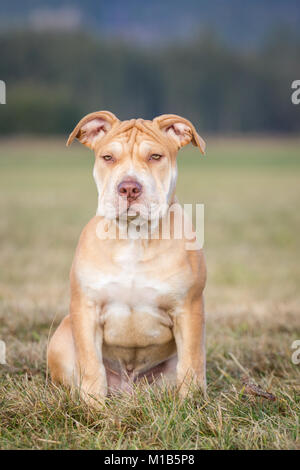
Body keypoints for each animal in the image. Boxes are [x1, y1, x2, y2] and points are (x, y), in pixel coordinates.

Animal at [47, 112, 206, 406]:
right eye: (108, 157)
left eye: (155, 156)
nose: (129, 188)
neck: (134, 237)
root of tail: (129, 388)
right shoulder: (86, 309)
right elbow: (92, 365)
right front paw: (93, 408)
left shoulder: (188, 309)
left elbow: (191, 364)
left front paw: (189, 405)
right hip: (63, 335)